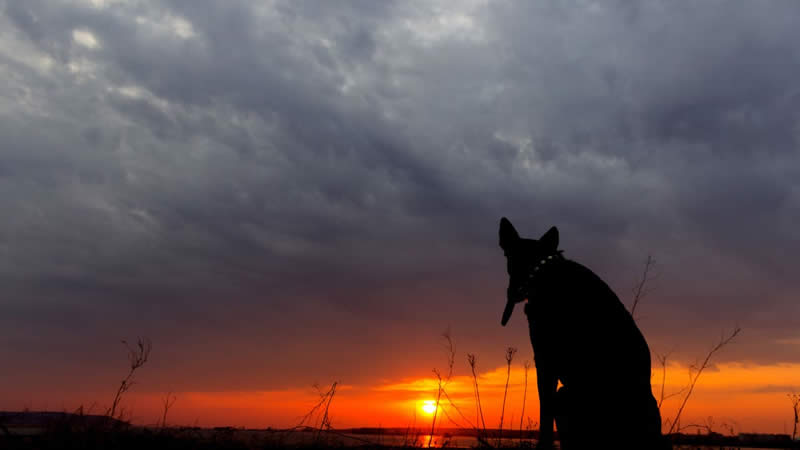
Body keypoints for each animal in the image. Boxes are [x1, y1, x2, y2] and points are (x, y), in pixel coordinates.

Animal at [499, 217, 666, 449]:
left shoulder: (545, 360)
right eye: (509, 256)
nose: (512, 293)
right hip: (565, 398)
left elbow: (544, 415)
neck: (543, 273)